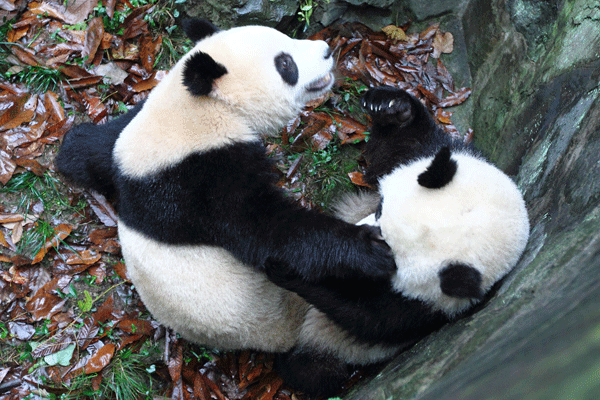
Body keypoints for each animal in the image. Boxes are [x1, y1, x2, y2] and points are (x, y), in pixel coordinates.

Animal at [264, 86, 528, 394]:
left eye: (388, 253)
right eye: (379, 208)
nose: (350, 239)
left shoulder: (422, 309)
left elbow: (366, 317)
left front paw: (294, 270)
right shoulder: (441, 156)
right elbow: (402, 147)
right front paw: (392, 107)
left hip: (334, 346)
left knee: (316, 370)